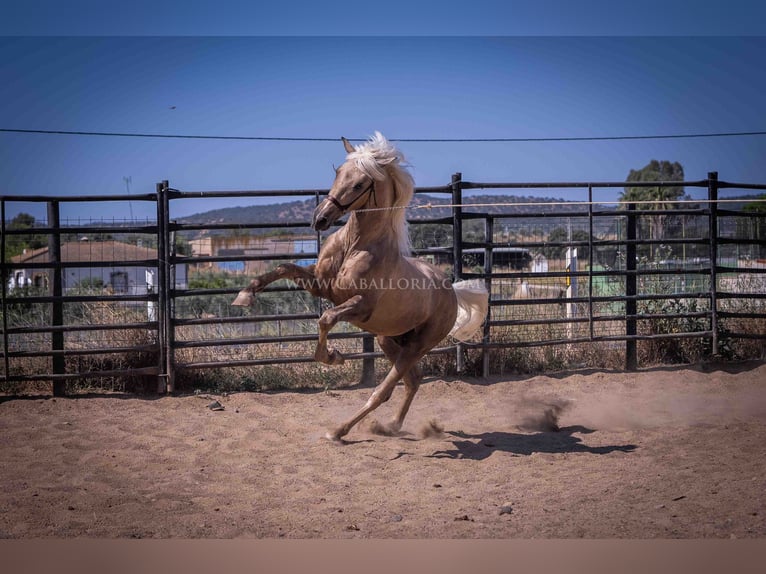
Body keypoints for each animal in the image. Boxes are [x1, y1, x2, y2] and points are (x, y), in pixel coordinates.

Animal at [231, 133, 488, 444]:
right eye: (338, 172)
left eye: (358, 184)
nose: (319, 219)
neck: (355, 246)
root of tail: (452, 292)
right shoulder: (320, 286)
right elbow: (283, 268)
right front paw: (244, 296)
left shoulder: (360, 306)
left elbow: (326, 318)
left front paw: (333, 356)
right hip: (389, 339)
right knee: (413, 380)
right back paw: (392, 426)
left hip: (418, 345)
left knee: (383, 391)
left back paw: (339, 431)